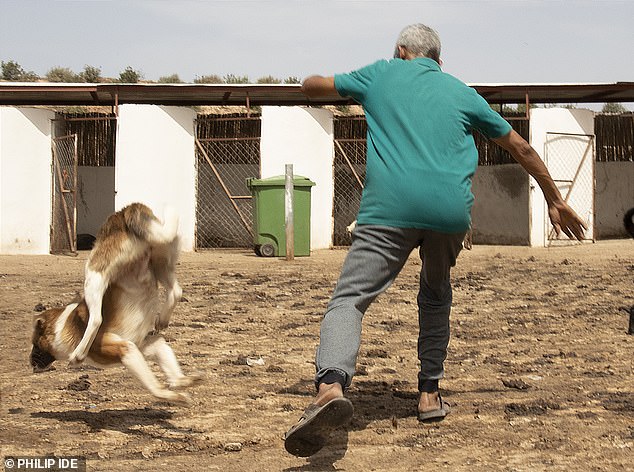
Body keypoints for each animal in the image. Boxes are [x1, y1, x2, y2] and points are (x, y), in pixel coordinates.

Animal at [27, 201, 198, 404]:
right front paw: (182, 382)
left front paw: (171, 393)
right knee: (176, 291)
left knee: (96, 318)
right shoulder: (146, 346)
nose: (29, 361)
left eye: (35, 343)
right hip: (161, 260)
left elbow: (155, 388)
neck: (62, 325)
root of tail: (124, 213)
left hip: (95, 273)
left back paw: (78, 354)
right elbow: (169, 365)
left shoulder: (127, 349)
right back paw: (162, 320)